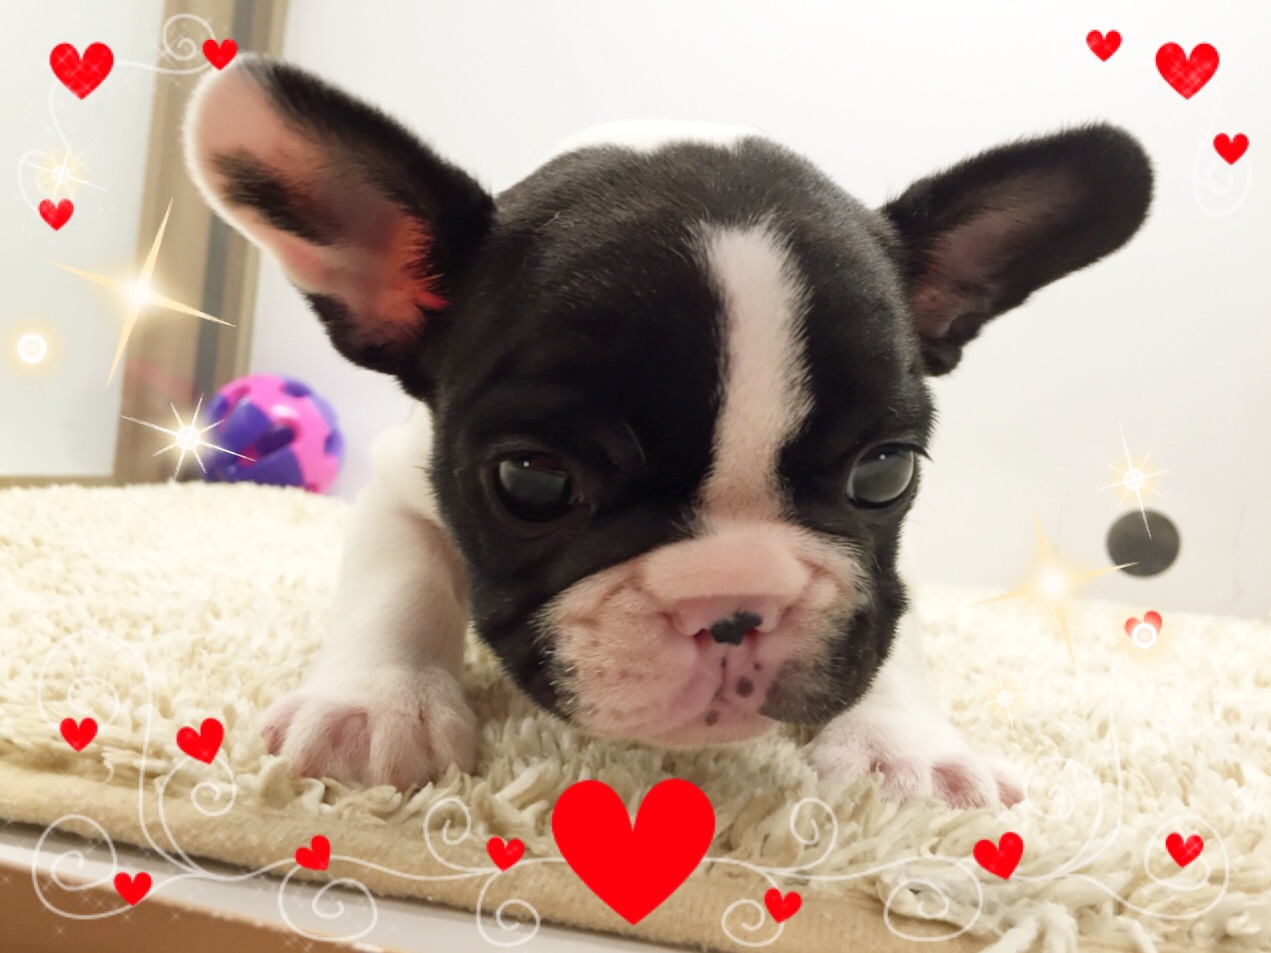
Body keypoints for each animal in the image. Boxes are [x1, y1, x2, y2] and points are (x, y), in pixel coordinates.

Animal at [184, 56, 1152, 808]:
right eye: (531, 481)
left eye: (884, 475)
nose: (735, 605)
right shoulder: (400, 481)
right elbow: (398, 581)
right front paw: (373, 707)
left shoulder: (883, 580)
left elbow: (889, 629)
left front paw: (906, 750)